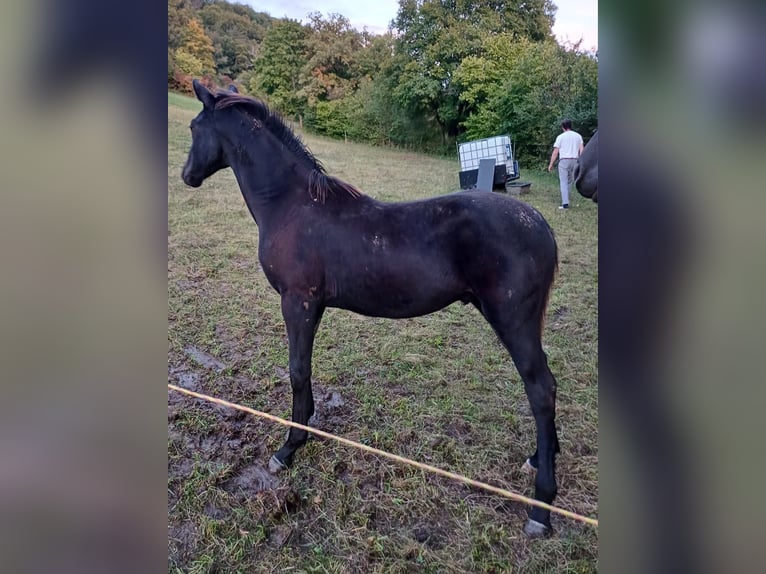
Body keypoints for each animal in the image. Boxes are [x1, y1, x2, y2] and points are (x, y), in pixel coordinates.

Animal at [182, 80, 560, 536]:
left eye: (192, 127)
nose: (187, 176)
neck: (292, 205)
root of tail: (540, 224)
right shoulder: (313, 305)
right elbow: (306, 370)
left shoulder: (297, 301)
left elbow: (297, 370)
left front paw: (288, 448)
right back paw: (540, 459)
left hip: (512, 320)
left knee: (540, 388)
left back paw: (541, 507)